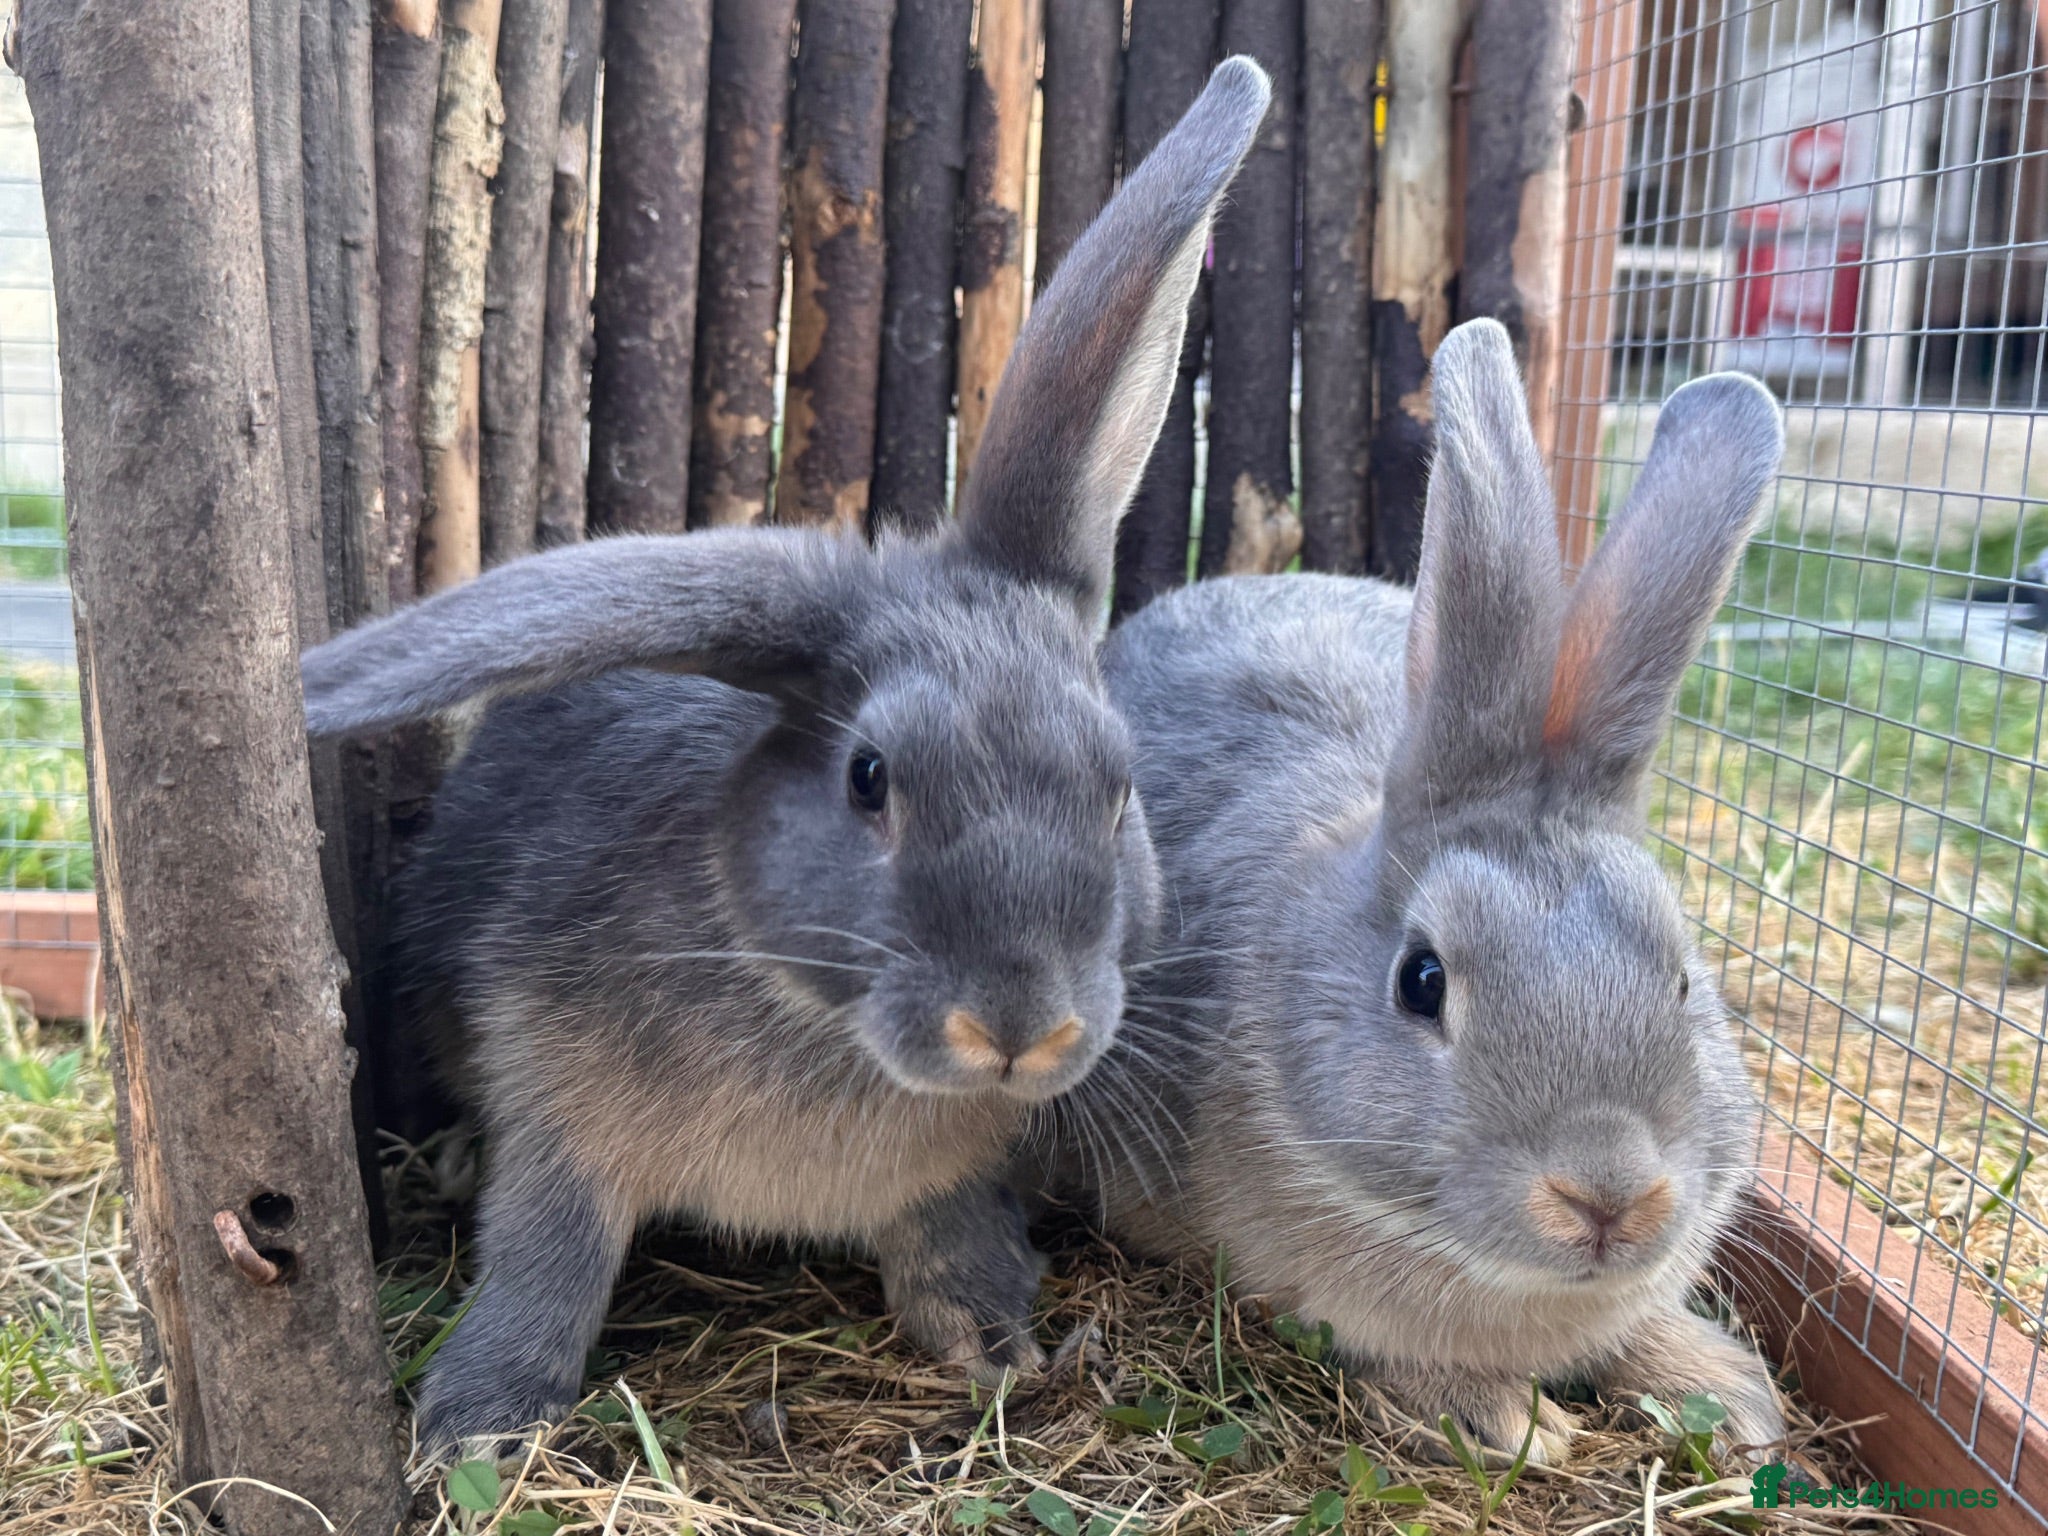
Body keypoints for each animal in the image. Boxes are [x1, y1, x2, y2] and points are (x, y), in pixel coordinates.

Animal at [299, 57, 1273, 1453]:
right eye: (869, 779)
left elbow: (947, 1238)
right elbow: (545, 1259)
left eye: (1119, 787)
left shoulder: (949, 1179)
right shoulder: (558, 1133)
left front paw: (998, 1346)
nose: (1019, 1029)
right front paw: (477, 1426)